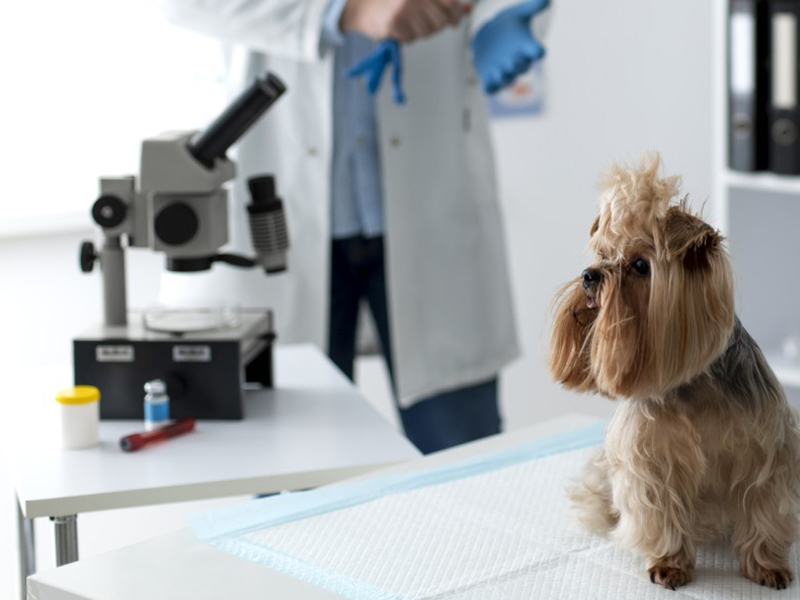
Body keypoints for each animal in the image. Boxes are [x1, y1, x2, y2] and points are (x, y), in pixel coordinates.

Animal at [548, 155, 800, 592]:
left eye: (639, 265)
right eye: (603, 254)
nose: (588, 274)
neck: (691, 383)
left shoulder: (767, 452)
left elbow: (764, 508)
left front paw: (767, 565)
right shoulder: (648, 463)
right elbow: (659, 512)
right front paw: (669, 562)